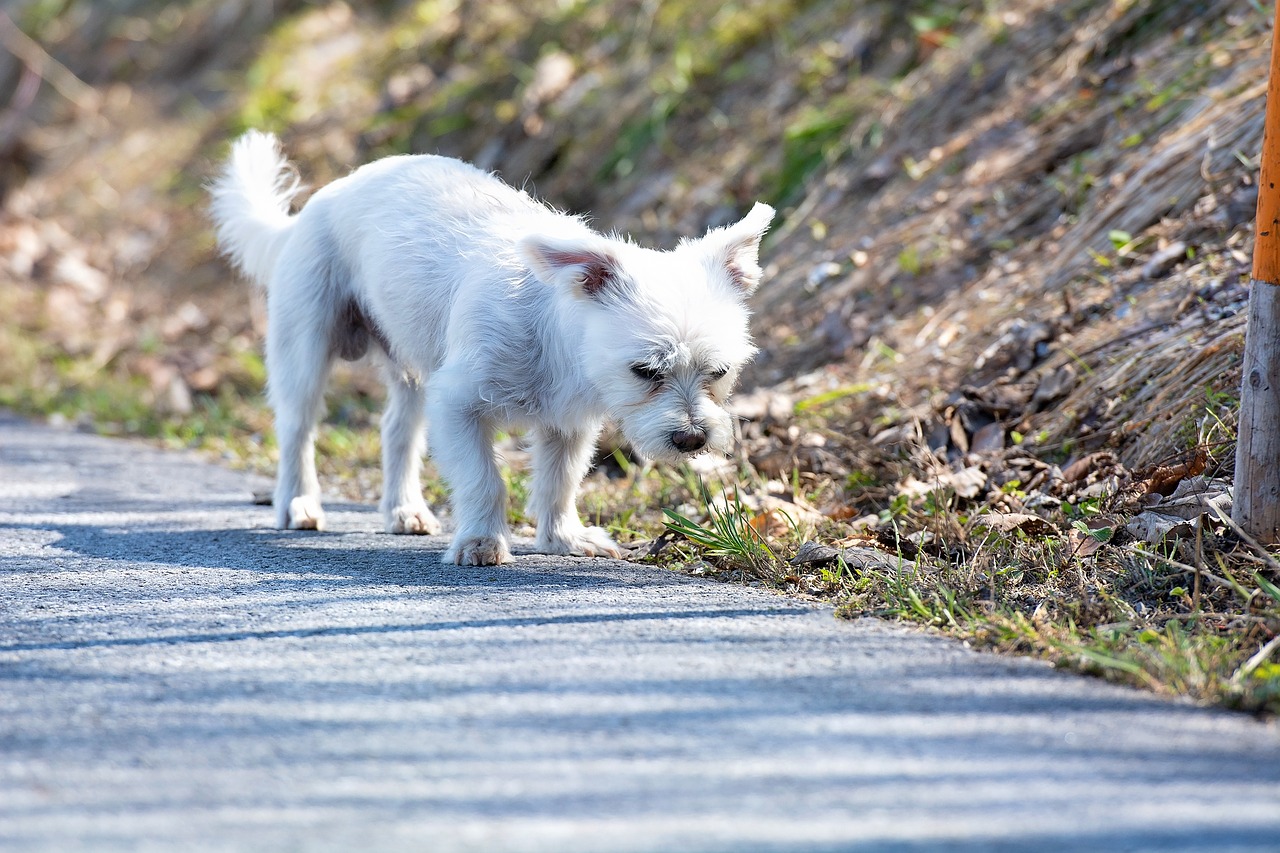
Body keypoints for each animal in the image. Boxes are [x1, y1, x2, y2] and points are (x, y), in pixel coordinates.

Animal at [212, 129, 768, 560]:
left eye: (719, 374)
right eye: (645, 371)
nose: (693, 439)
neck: (552, 334)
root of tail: (315, 205)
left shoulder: (567, 425)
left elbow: (560, 481)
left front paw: (563, 538)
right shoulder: (457, 405)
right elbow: (485, 478)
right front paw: (481, 541)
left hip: (412, 365)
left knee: (396, 429)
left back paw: (403, 508)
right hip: (305, 349)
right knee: (297, 428)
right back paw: (298, 503)